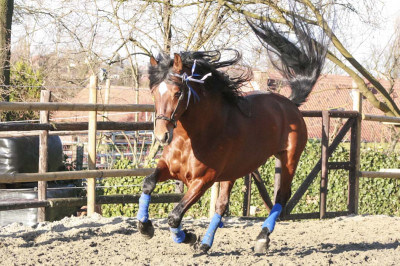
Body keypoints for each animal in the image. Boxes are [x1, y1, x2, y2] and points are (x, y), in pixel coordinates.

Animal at [137, 13, 328, 252]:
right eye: (154, 92)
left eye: (178, 92)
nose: (162, 135)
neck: (190, 138)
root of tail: (290, 104)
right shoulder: (169, 168)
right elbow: (148, 183)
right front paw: (145, 227)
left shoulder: (203, 180)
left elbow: (174, 216)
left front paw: (188, 236)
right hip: (235, 170)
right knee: (222, 205)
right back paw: (205, 244)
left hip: (289, 159)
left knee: (281, 197)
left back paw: (262, 238)